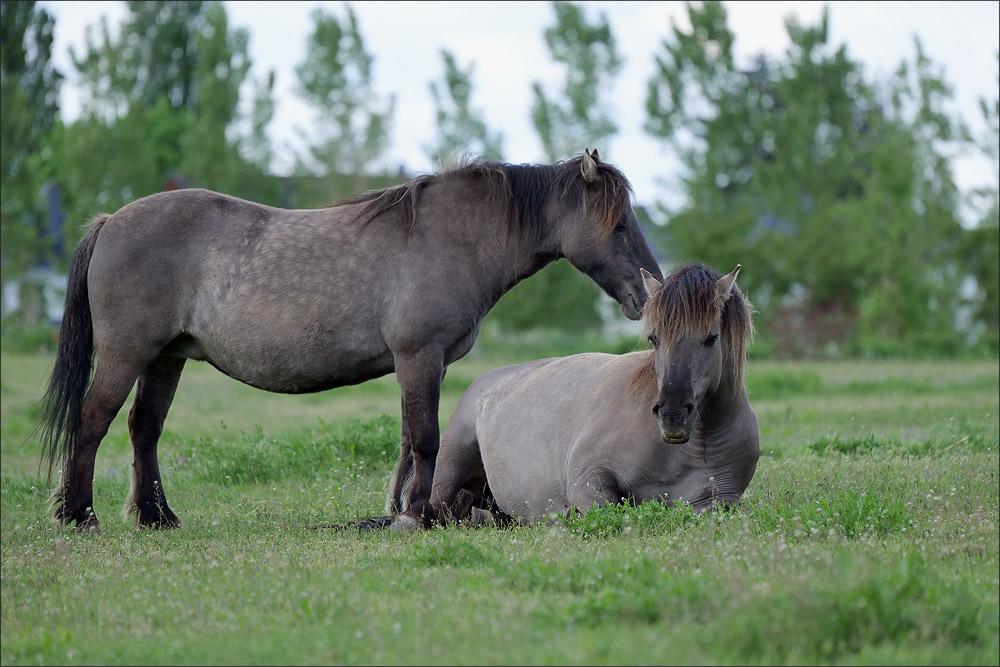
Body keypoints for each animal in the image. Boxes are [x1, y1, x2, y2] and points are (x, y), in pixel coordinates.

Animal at [41, 150, 664, 532]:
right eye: (618, 225)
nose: (646, 294)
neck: (450, 237)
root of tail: (110, 222)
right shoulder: (420, 357)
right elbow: (426, 439)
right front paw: (419, 515)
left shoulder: (423, 365)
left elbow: (408, 442)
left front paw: (399, 511)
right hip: (126, 355)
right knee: (93, 420)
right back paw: (79, 514)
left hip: (166, 359)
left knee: (143, 429)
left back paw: (156, 516)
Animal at [398, 260, 756, 528]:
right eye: (654, 338)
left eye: (710, 338)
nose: (672, 415)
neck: (696, 446)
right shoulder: (589, 477)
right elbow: (605, 508)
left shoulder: (720, 501)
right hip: (450, 467)